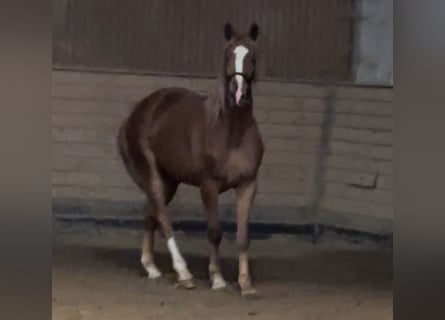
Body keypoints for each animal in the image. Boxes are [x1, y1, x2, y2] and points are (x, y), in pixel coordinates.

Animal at [117, 23, 264, 298]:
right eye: (227, 55)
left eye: (252, 56)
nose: (238, 93)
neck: (231, 132)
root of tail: (137, 112)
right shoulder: (209, 186)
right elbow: (215, 232)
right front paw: (217, 279)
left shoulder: (248, 184)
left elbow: (243, 235)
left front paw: (245, 283)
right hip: (152, 174)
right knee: (163, 218)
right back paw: (183, 273)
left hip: (169, 181)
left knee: (151, 213)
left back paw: (151, 267)